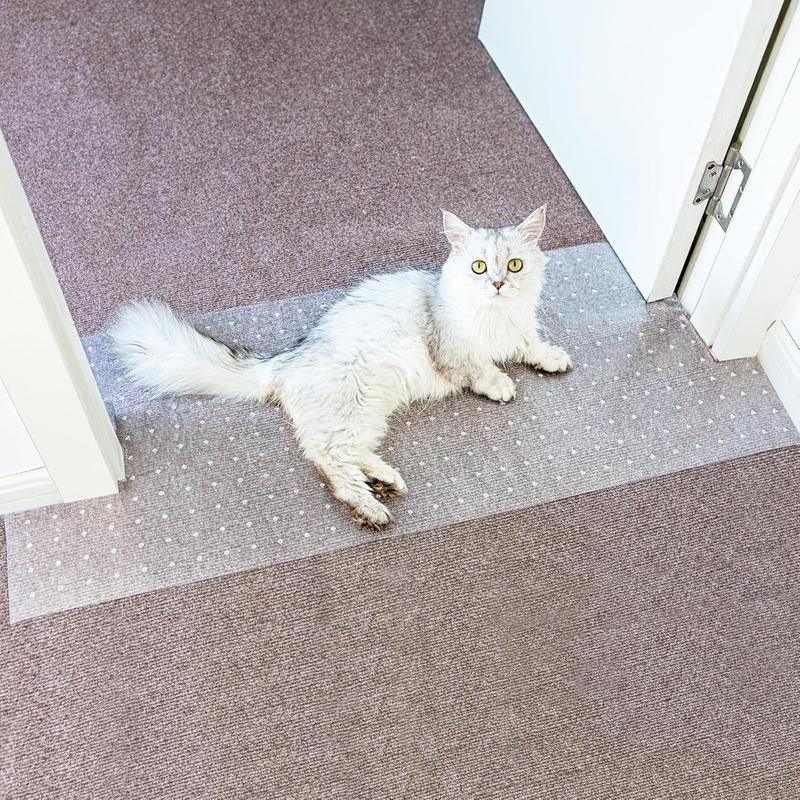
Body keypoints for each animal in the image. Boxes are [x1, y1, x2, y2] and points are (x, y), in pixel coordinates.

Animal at [112, 206, 572, 528]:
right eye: (479, 267)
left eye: (514, 265)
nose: (498, 284)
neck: (497, 316)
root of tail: (287, 358)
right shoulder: (452, 350)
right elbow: (480, 369)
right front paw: (501, 383)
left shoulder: (520, 328)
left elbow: (530, 343)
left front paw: (552, 357)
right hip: (356, 401)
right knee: (329, 460)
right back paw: (370, 508)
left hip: (369, 410)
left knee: (347, 453)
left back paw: (385, 480)